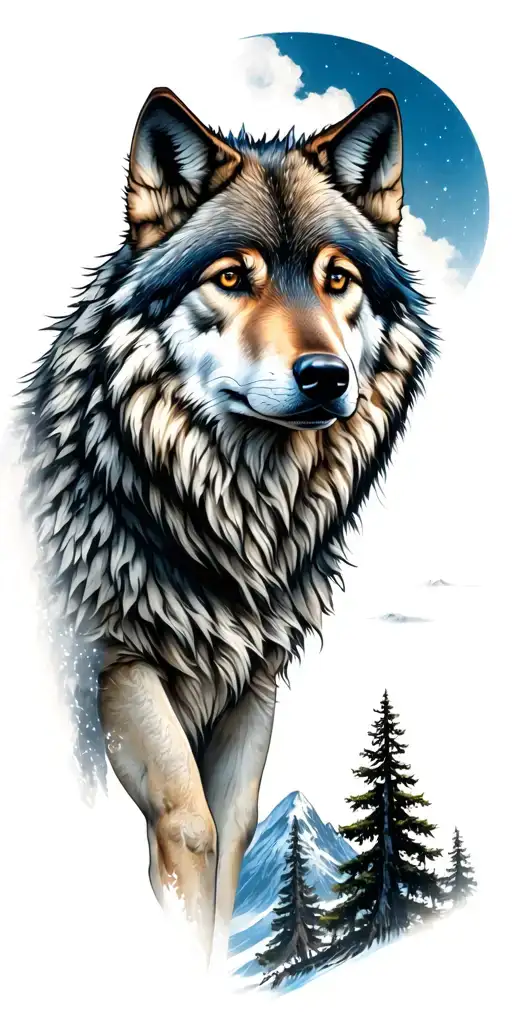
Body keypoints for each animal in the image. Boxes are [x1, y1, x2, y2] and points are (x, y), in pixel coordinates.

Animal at [20, 85, 436, 965]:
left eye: (337, 278)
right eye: (232, 278)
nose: (325, 377)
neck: (232, 518)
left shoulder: (255, 679)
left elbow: (236, 835)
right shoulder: (115, 663)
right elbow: (194, 830)